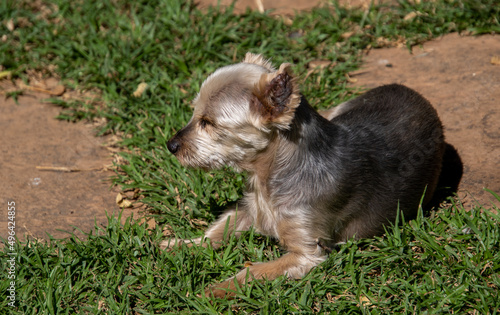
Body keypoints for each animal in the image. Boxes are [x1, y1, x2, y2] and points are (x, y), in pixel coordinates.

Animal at [161, 53, 446, 298]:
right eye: (194, 114)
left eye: (208, 123)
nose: (171, 145)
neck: (267, 177)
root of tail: (411, 91)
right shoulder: (251, 210)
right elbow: (217, 230)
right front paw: (178, 245)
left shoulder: (308, 252)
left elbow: (253, 270)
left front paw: (214, 290)